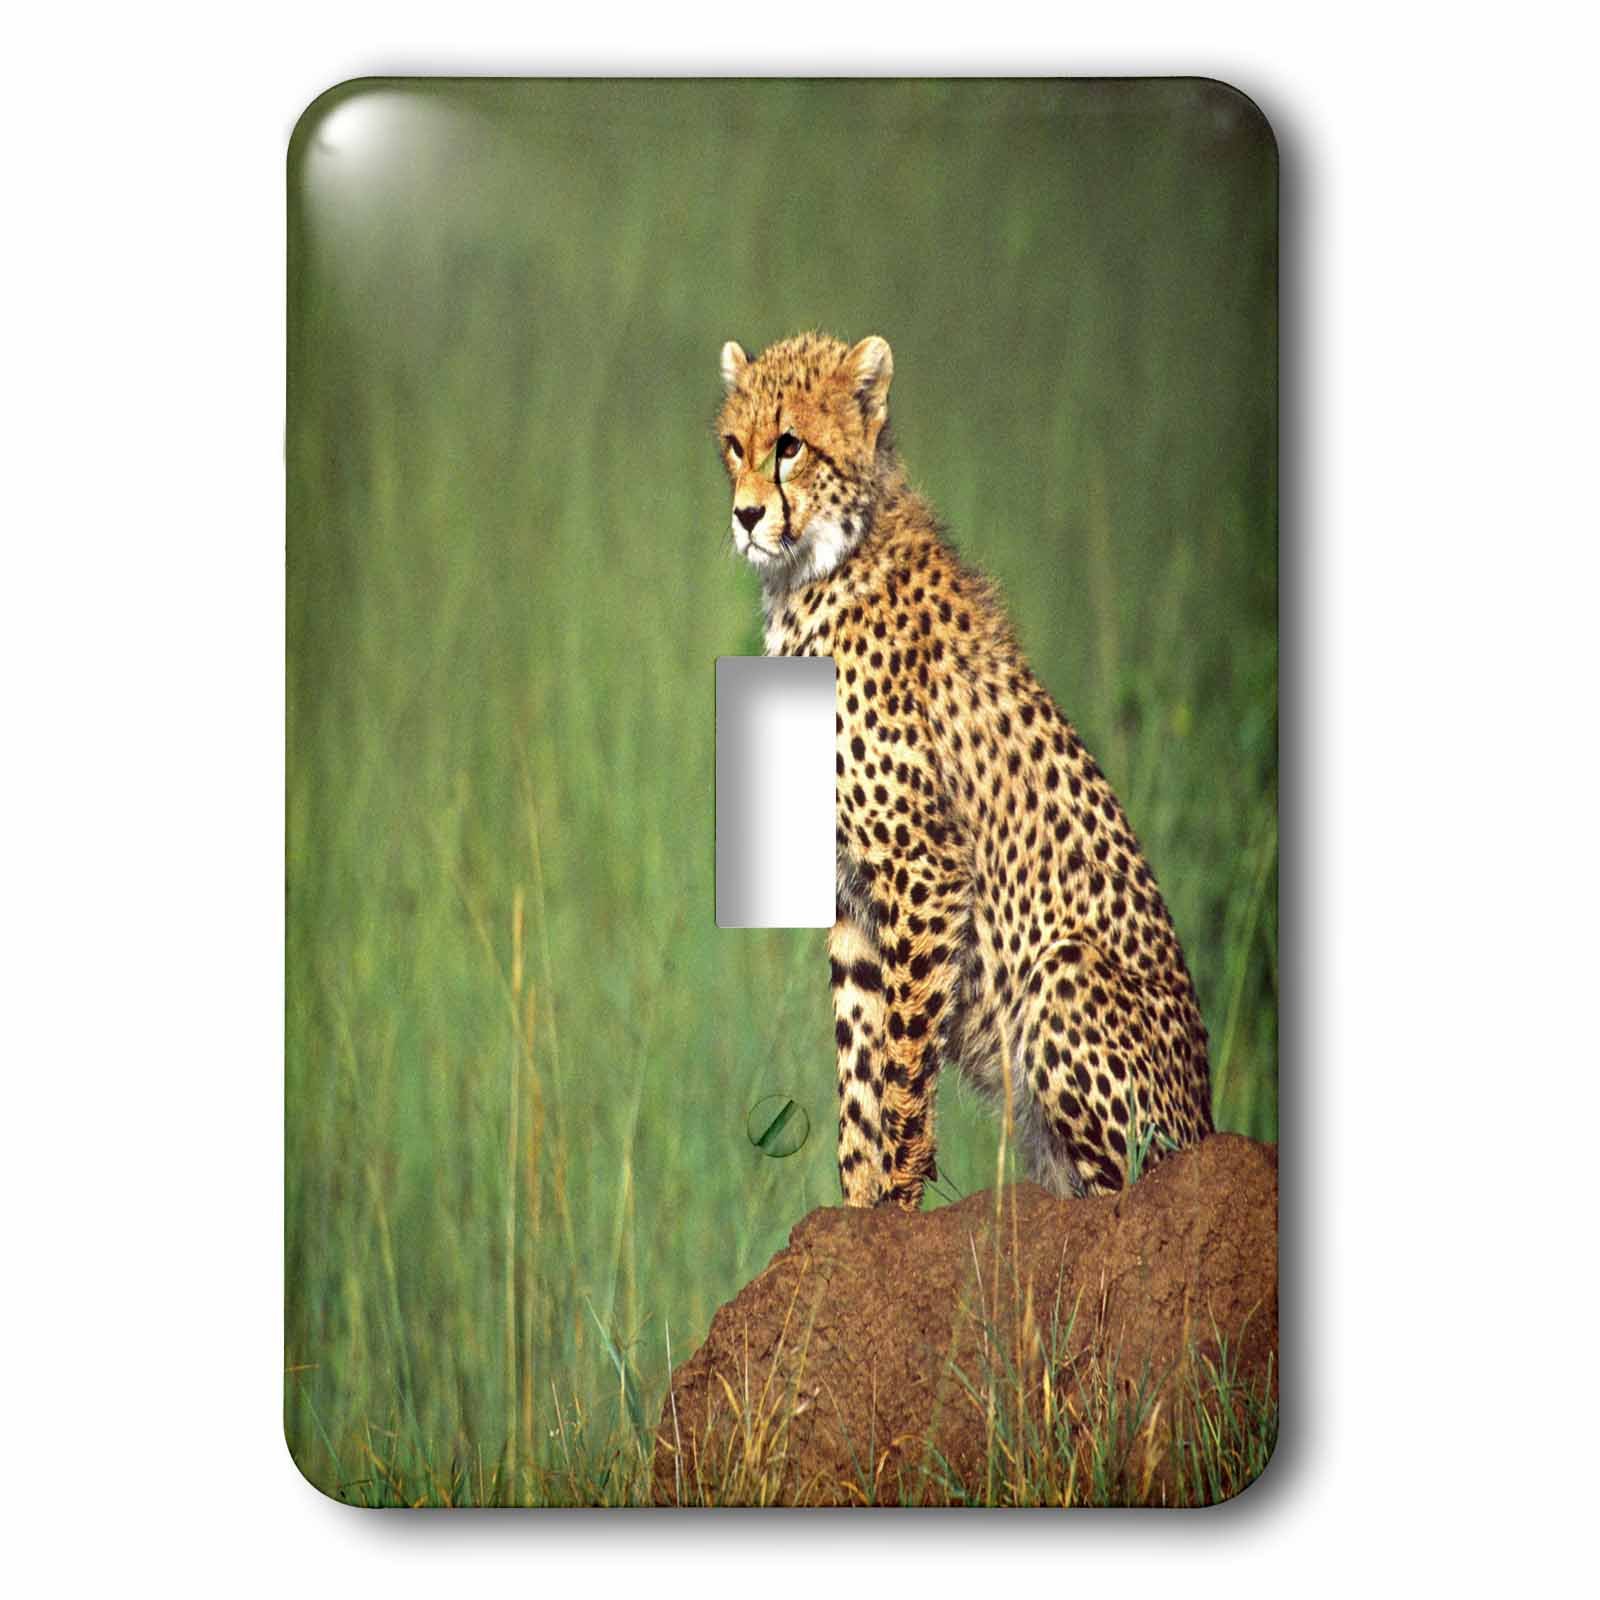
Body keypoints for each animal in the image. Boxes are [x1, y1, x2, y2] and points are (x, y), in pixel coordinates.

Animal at [715, 330, 1213, 1211]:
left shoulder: (925, 864)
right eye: (735, 447)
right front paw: (858, 1208)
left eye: (790, 446)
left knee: (1124, 1188)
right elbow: (858, 1063)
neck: (815, 571)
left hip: (1065, 979)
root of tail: (1215, 1126)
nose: (745, 516)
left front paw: (897, 1199)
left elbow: (904, 1053)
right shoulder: (852, 891)